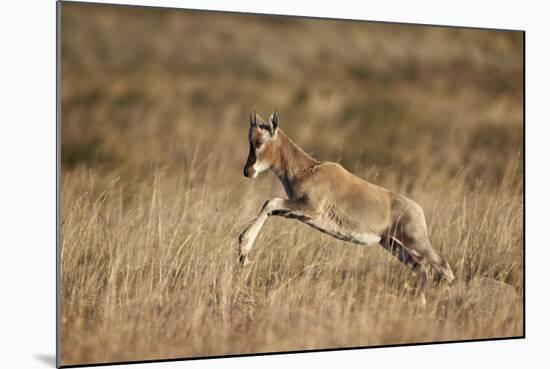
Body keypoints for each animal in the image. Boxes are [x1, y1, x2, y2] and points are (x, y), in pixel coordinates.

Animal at [239, 110, 454, 302]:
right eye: (250, 140)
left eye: (259, 141)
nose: (247, 171)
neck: (310, 169)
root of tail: (418, 209)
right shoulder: (295, 211)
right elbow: (270, 208)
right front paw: (244, 255)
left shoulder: (309, 209)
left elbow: (270, 202)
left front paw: (243, 252)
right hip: (392, 244)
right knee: (421, 268)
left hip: (415, 241)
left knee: (443, 266)